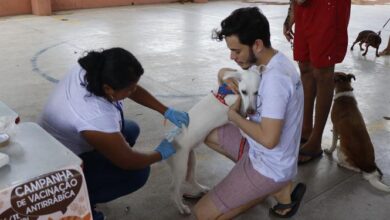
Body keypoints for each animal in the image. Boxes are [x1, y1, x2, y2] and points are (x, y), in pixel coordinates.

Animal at [165, 67, 262, 215]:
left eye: (257, 92)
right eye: (244, 91)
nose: (251, 111)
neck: (229, 92)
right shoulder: (233, 113)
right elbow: (242, 125)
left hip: (191, 158)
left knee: (190, 178)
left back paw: (201, 189)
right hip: (180, 166)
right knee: (173, 189)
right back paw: (182, 207)